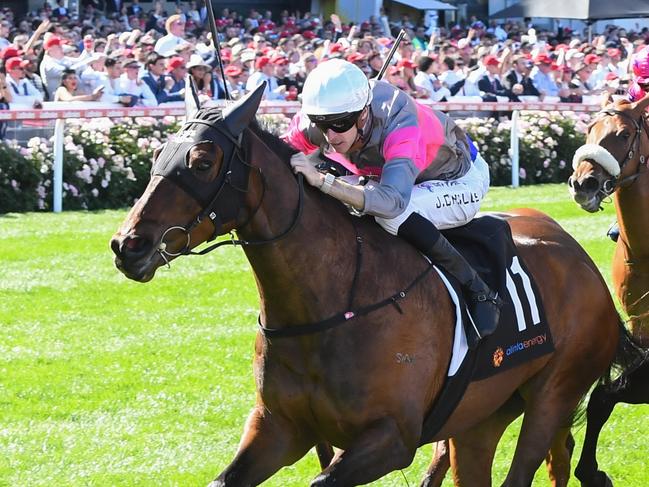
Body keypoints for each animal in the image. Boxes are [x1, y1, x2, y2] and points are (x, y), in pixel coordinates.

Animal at [112, 86, 628, 486]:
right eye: (157, 154)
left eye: (202, 161)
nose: (128, 245)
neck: (330, 302)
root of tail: (581, 261)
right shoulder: (278, 428)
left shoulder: (391, 437)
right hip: (481, 415)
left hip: (552, 394)